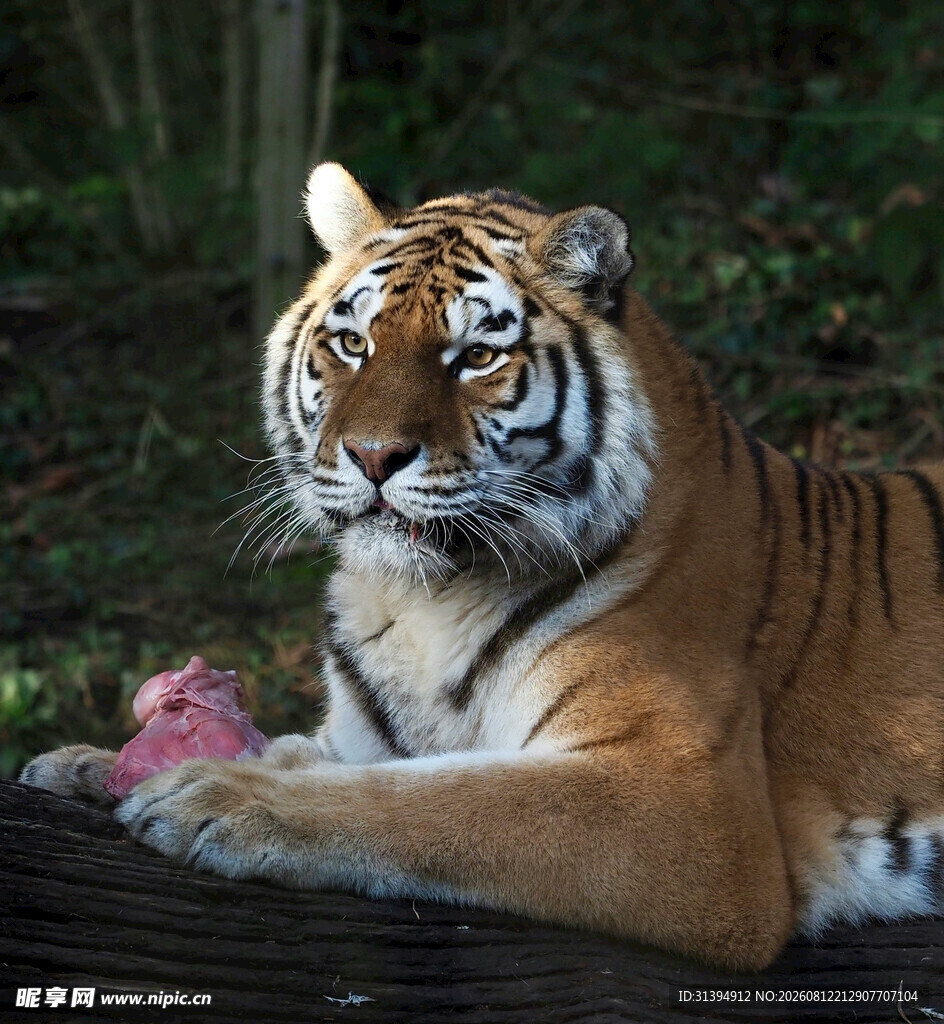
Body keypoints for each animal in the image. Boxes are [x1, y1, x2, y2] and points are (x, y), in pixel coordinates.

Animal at [20, 162, 944, 970]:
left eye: (475, 357)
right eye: (351, 343)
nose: (373, 455)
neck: (417, 603)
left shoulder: (689, 805)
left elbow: (438, 798)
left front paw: (219, 794)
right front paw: (88, 765)